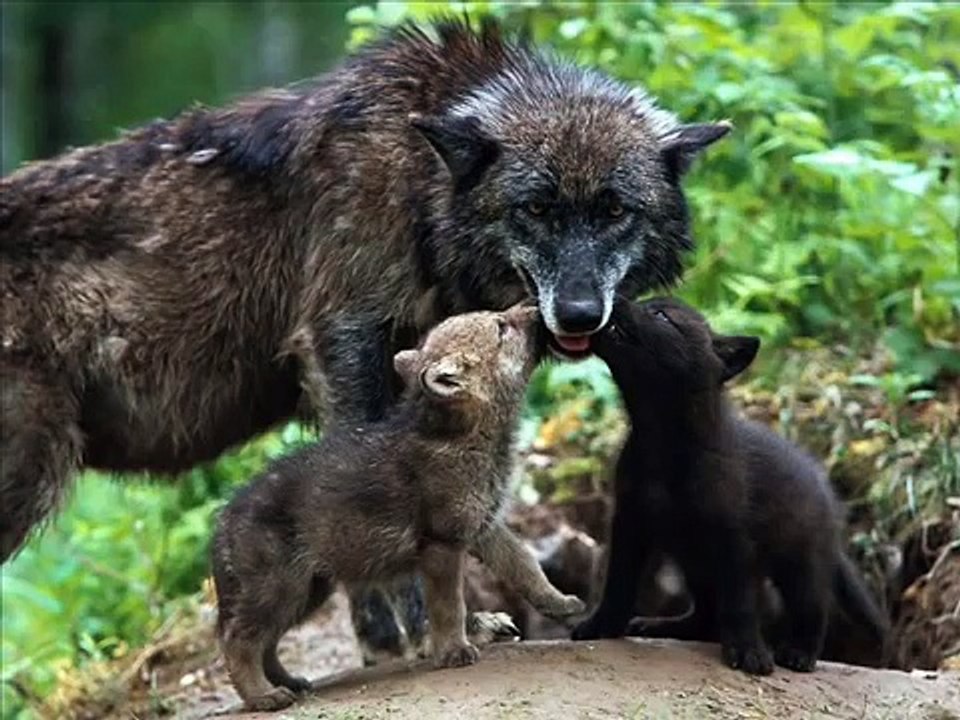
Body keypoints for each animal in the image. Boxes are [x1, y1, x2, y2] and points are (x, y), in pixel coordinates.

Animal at [0, 18, 727, 655]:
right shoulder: (343, 344)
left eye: (614, 210)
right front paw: (420, 630)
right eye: (537, 209)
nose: (579, 315)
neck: (417, 183)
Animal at [212, 304, 584, 710]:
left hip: (308, 590)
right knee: (239, 641)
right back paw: (264, 696)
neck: (464, 439)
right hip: (282, 588)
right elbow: (449, 605)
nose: (536, 308)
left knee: (265, 642)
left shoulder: (484, 528)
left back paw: (289, 683)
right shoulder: (441, 544)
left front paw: (560, 602)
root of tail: (222, 522)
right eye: (501, 327)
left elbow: (526, 567)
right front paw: (454, 651)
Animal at [571, 297, 889, 674]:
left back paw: (799, 654)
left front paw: (749, 651)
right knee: (706, 615)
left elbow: (741, 602)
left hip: (802, 560)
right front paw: (601, 626)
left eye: (661, 316)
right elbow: (618, 583)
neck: (662, 441)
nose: (615, 299)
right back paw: (660, 626)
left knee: (813, 608)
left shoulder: (733, 538)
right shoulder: (630, 522)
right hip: (694, 561)